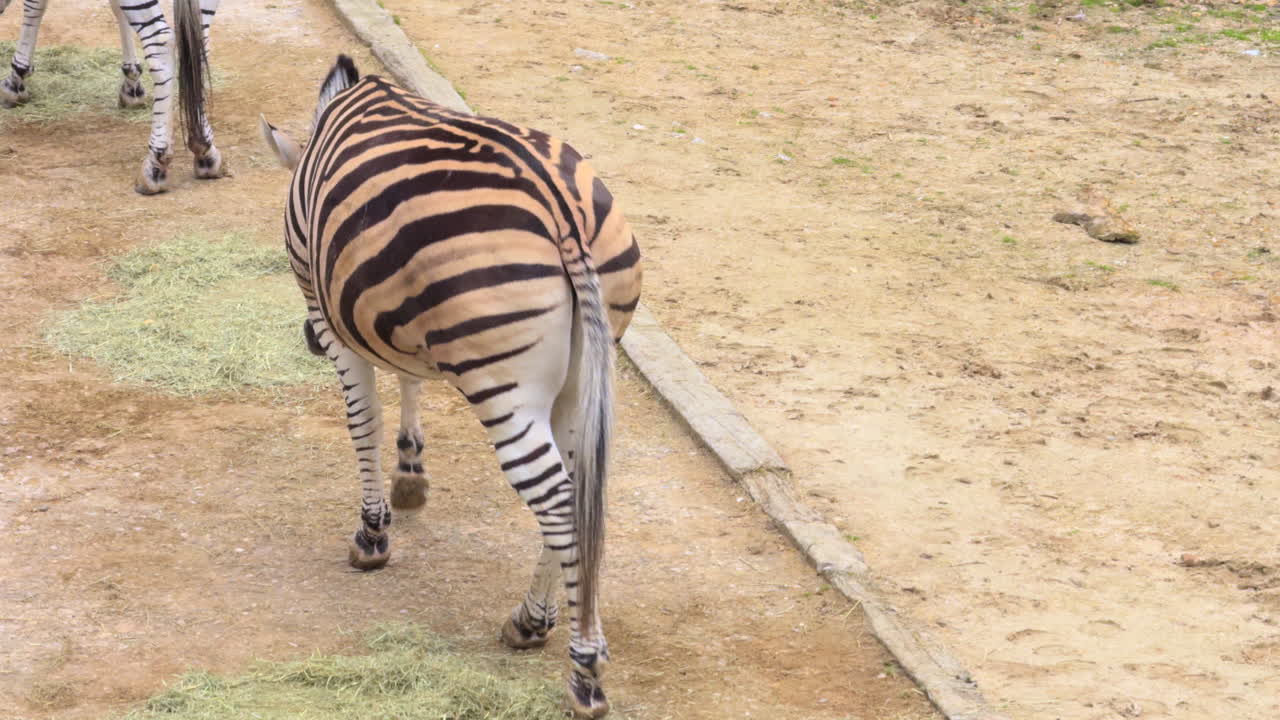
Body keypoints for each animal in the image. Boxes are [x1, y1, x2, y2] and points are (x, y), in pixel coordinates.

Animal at [0, 0, 224, 194]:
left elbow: (34, 6)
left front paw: (16, 78)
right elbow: (117, 9)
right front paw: (132, 82)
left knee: (160, 44)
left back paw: (156, 161)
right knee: (200, 39)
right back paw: (204, 147)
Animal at [259, 55, 643, 719]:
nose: (305, 342)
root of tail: (562, 210)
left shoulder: (328, 309)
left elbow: (364, 420)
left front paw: (373, 532)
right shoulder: (390, 303)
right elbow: (407, 377)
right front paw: (411, 473)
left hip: (505, 389)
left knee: (558, 503)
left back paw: (584, 672)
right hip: (582, 374)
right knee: (577, 494)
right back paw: (530, 621)